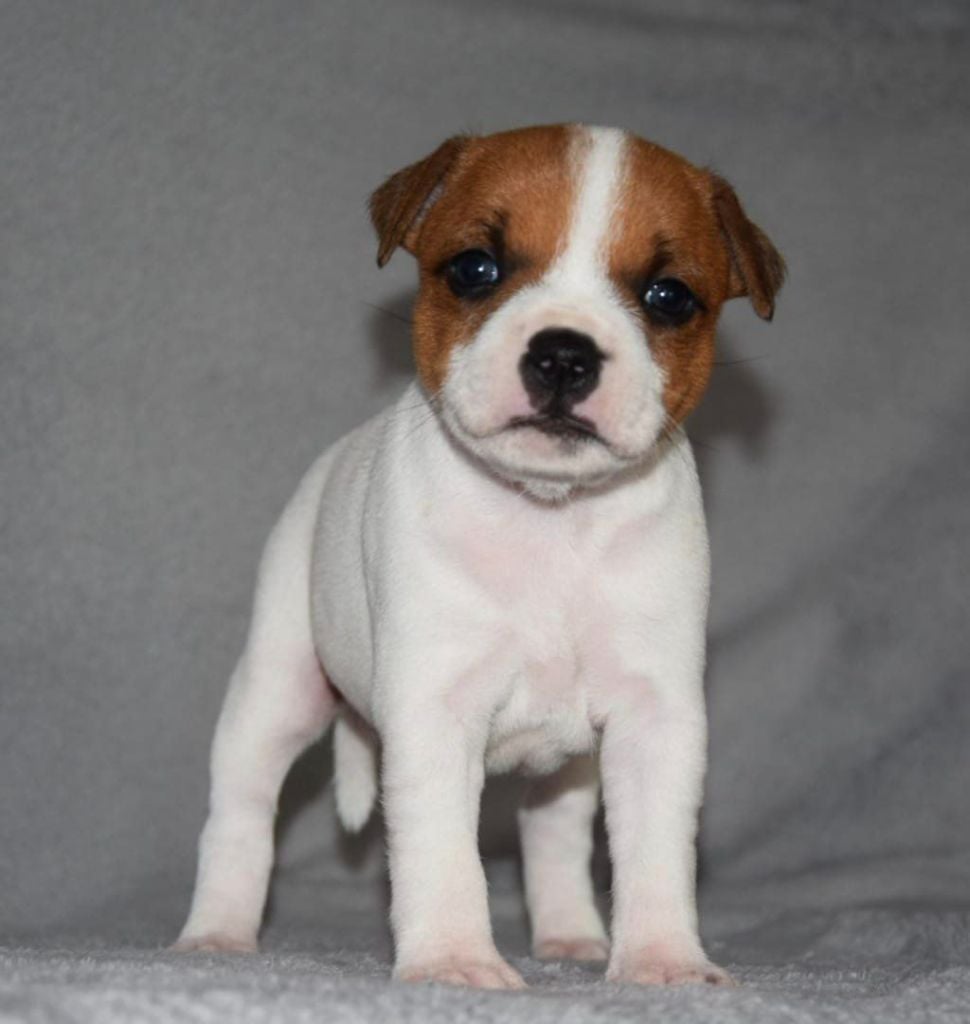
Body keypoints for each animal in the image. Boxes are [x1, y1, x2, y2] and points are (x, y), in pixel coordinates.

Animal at [173, 124, 784, 989]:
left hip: (569, 767)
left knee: (553, 834)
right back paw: (218, 934)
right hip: (277, 690)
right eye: (475, 269)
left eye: (668, 296)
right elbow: (441, 852)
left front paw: (664, 960)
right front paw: (453, 961)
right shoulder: (436, 710)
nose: (563, 354)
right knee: (241, 812)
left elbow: (657, 852)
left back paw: (571, 934)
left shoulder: (654, 719)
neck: (550, 519)